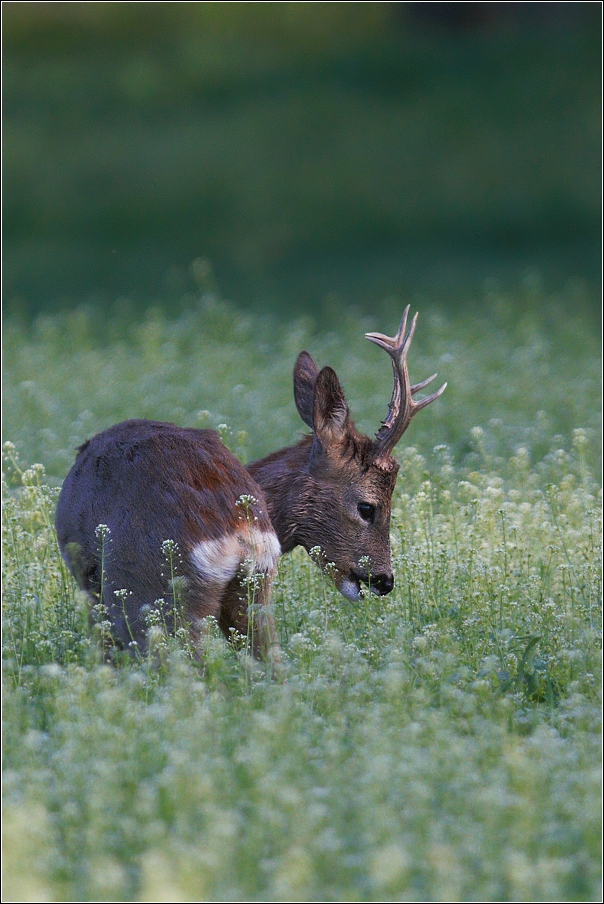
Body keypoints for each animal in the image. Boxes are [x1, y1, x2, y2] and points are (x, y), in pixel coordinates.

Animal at [55, 308, 444, 668]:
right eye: (367, 507)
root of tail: (238, 527)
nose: (384, 580)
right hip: (252, 590)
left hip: (151, 593)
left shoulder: (89, 581)